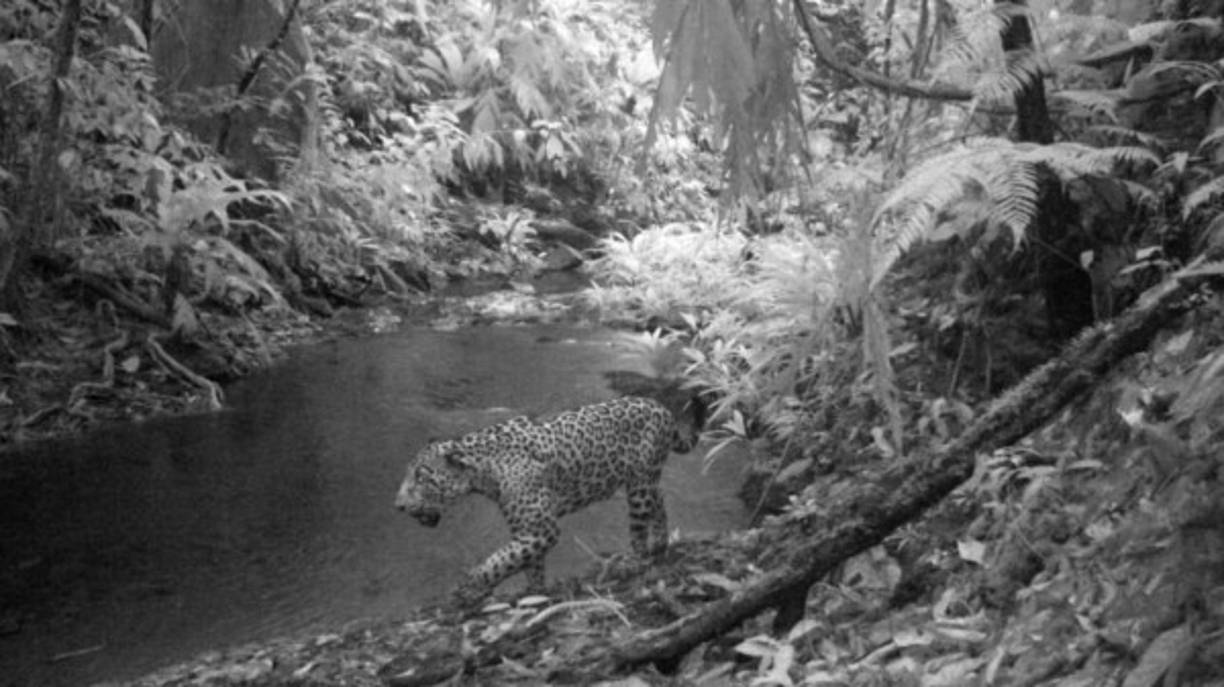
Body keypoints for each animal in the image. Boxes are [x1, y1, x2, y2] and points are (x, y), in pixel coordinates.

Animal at [395, 396, 693, 606]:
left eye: (420, 477)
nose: (397, 506)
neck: (483, 470)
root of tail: (661, 406)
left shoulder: (539, 528)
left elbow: (498, 561)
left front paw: (470, 589)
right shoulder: (528, 530)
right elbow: (525, 560)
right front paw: (535, 591)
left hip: (639, 486)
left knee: (640, 528)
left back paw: (634, 560)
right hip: (645, 480)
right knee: (660, 497)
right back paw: (661, 542)